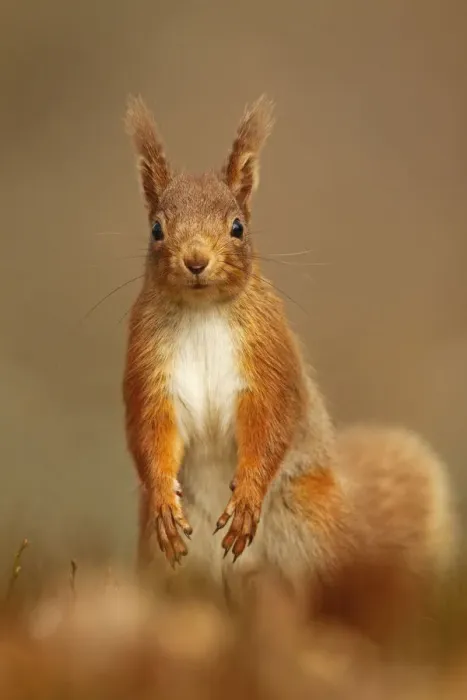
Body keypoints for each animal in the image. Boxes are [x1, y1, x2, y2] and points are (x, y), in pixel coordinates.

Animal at [122, 94, 457, 615]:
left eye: (238, 227)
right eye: (157, 228)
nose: (195, 260)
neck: (202, 312)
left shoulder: (268, 356)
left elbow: (271, 421)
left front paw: (246, 500)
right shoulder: (149, 364)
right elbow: (150, 431)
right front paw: (162, 499)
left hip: (308, 521)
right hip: (170, 565)